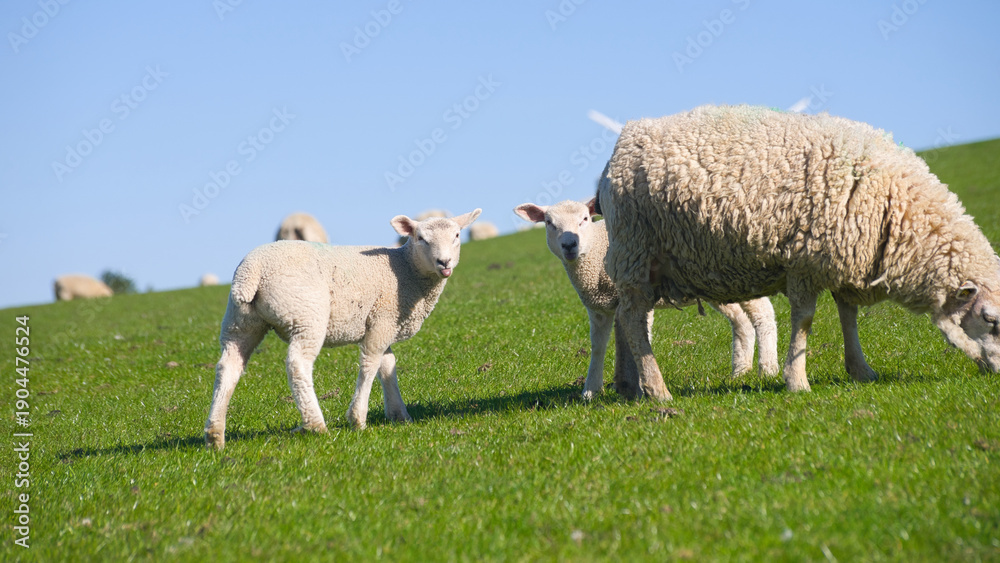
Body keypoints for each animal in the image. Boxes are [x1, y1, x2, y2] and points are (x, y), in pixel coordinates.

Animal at [205, 209, 482, 449]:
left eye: (457, 236)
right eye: (421, 238)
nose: (444, 262)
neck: (406, 269)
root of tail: (252, 271)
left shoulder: (385, 324)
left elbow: (387, 366)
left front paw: (399, 415)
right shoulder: (382, 319)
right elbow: (370, 364)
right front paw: (358, 418)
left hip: (240, 321)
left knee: (228, 366)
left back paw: (215, 434)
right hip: (307, 316)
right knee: (298, 365)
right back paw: (316, 424)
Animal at [514, 198, 779, 400]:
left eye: (585, 219)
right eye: (549, 223)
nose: (569, 245)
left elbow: (640, 340)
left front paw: (642, 389)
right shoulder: (598, 307)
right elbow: (598, 346)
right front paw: (590, 391)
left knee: (764, 312)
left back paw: (767, 369)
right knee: (741, 322)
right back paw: (740, 371)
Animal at [596, 104, 1000, 401]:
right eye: (990, 319)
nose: (998, 373)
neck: (896, 206)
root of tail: (618, 149)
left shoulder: (841, 257)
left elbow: (848, 314)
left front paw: (860, 369)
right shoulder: (804, 259)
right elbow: (804, 321)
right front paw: (797, 381)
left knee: (626, 319)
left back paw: (630, 387)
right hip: (636, 250)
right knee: (633, 320)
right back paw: (657, 390)